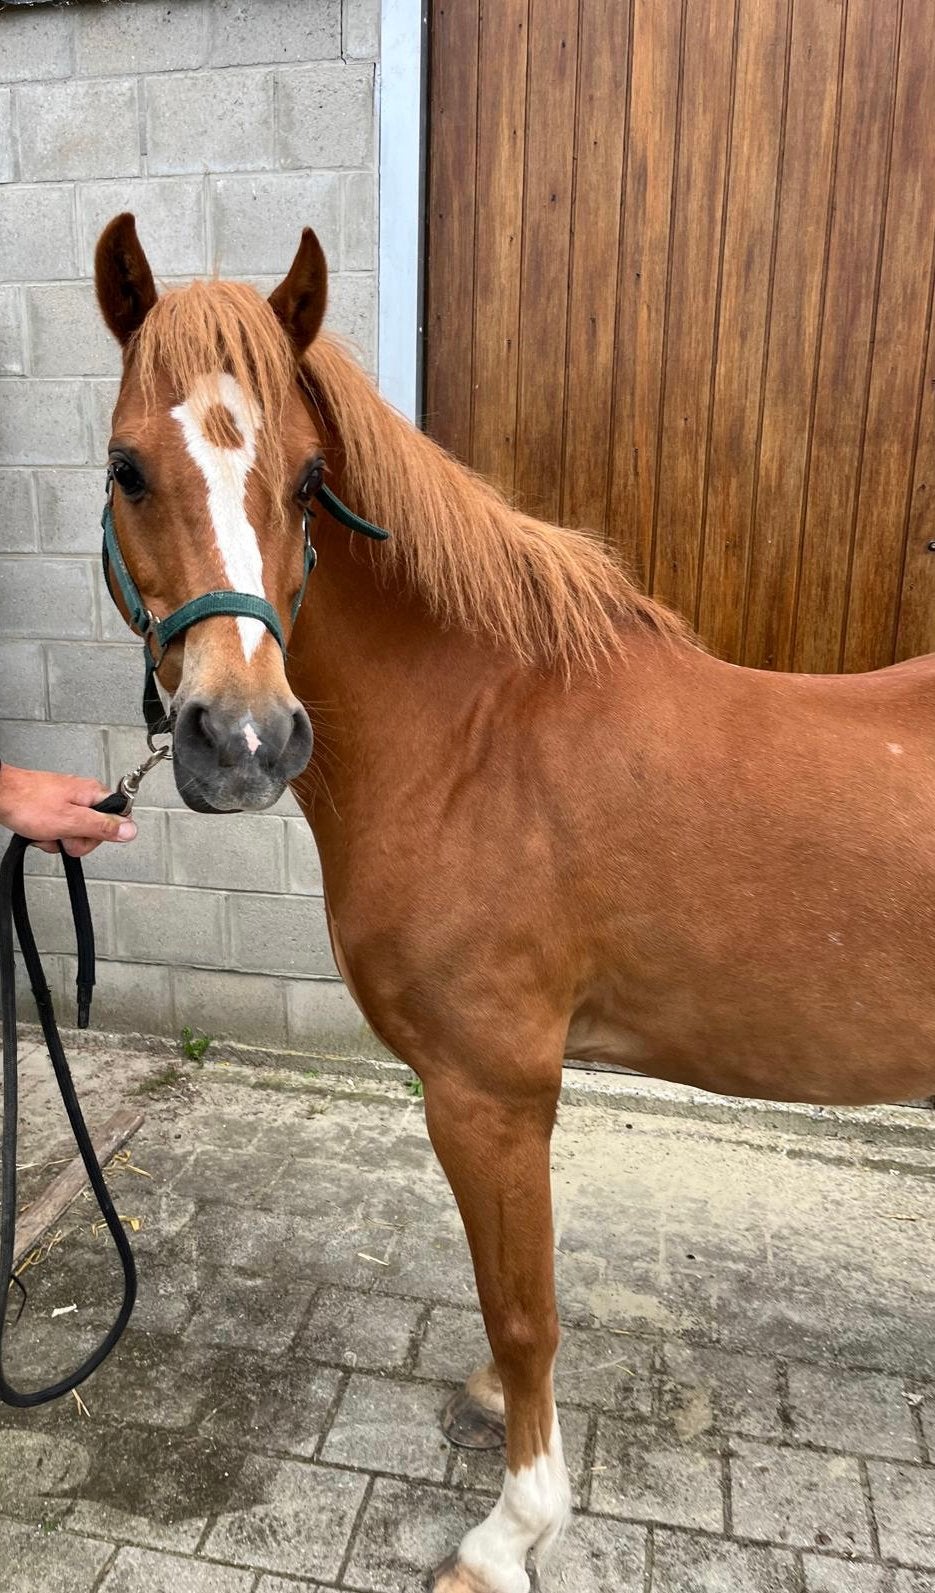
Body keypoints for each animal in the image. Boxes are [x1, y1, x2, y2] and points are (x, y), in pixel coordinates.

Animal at [93, 212, 935, 1593]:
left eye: (308, 479)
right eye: (128, 469)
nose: (246, 740)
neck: (478, 740)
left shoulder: (490, 1092)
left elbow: (524, 1308)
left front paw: (510, 1528)